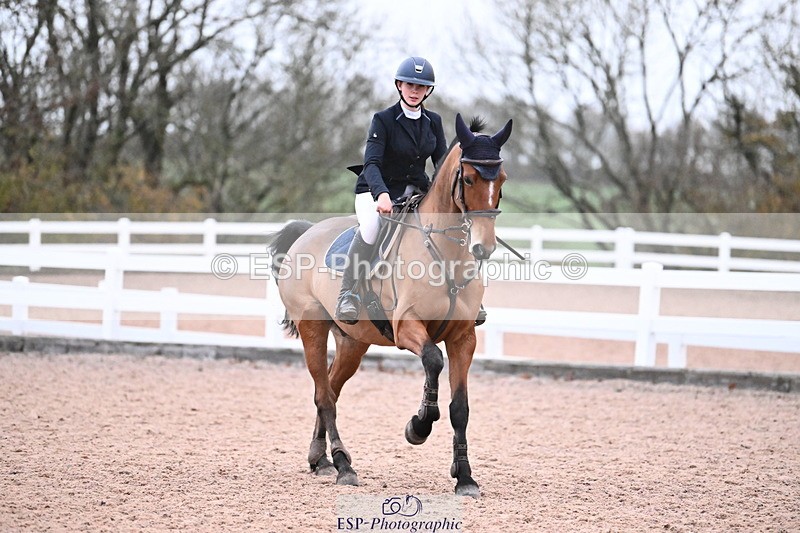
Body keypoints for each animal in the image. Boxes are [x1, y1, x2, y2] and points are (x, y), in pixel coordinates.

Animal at [267, 113, 512, 497]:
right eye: (469, 178)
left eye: (501, 180)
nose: (483, 248)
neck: (446, 255)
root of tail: (306, 232)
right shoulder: (407, 327)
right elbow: (432, 360)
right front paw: (419, 426)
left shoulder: (463, 338)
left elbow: (460, 408)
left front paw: (465, 477)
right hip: (312, 328)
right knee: (324, 395)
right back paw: (343, 465)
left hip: (353, 342)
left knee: (331, 389)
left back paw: (321, 459)